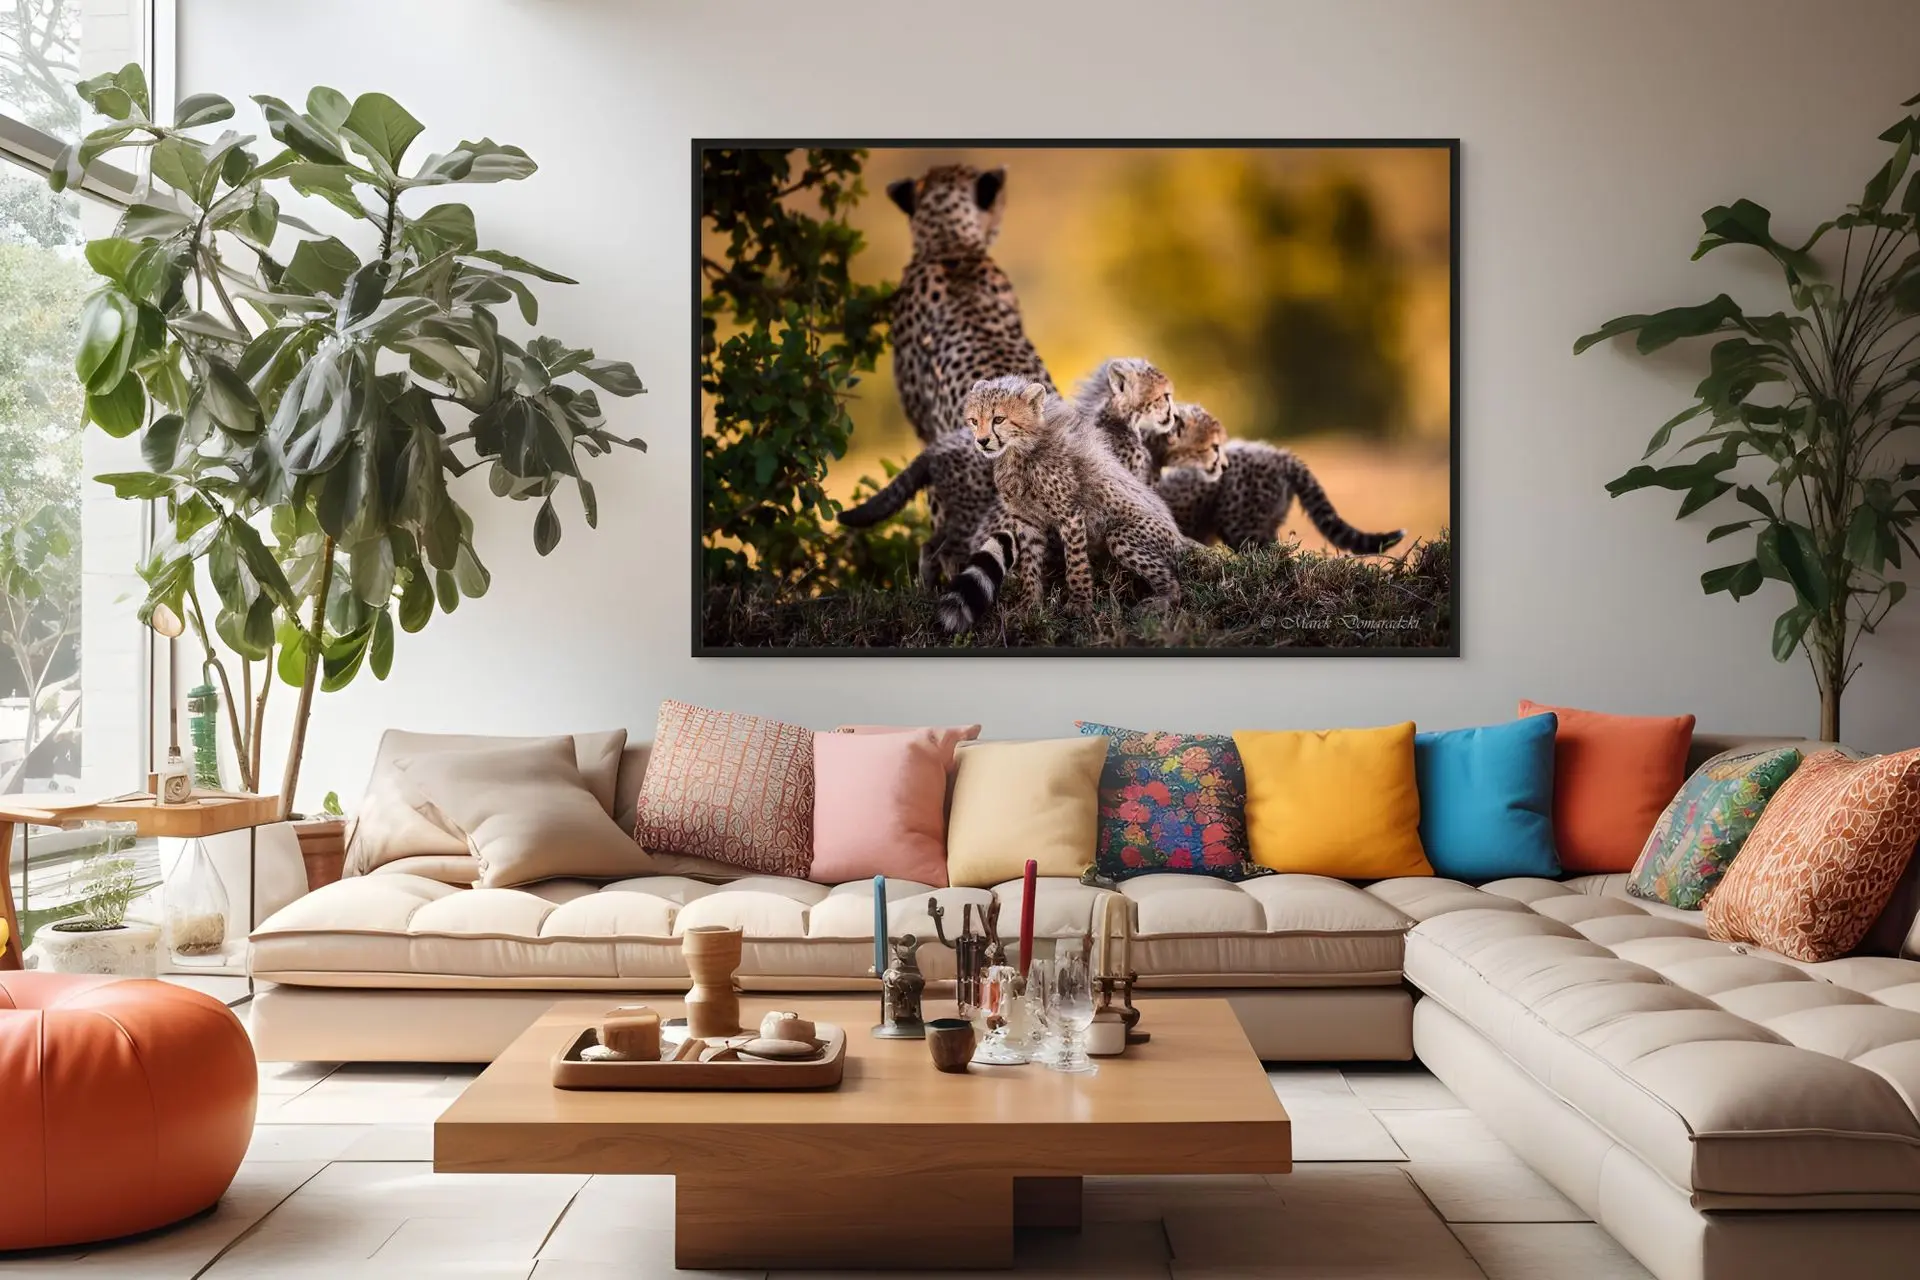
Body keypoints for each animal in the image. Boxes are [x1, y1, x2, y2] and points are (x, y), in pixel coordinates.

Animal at [938, 377, 1184, 633]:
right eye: (974, 421)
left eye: (998, 419)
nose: (982, 441)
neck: (1020, 451)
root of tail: (1180, 539)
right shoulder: (1027, 521)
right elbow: (1029, 564)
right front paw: (1029, 606)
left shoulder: (1070, 515)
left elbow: (1076, 563)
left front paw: (1080, 604)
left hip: (1125, 536)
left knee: (1174, 583)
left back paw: (1161, 601)